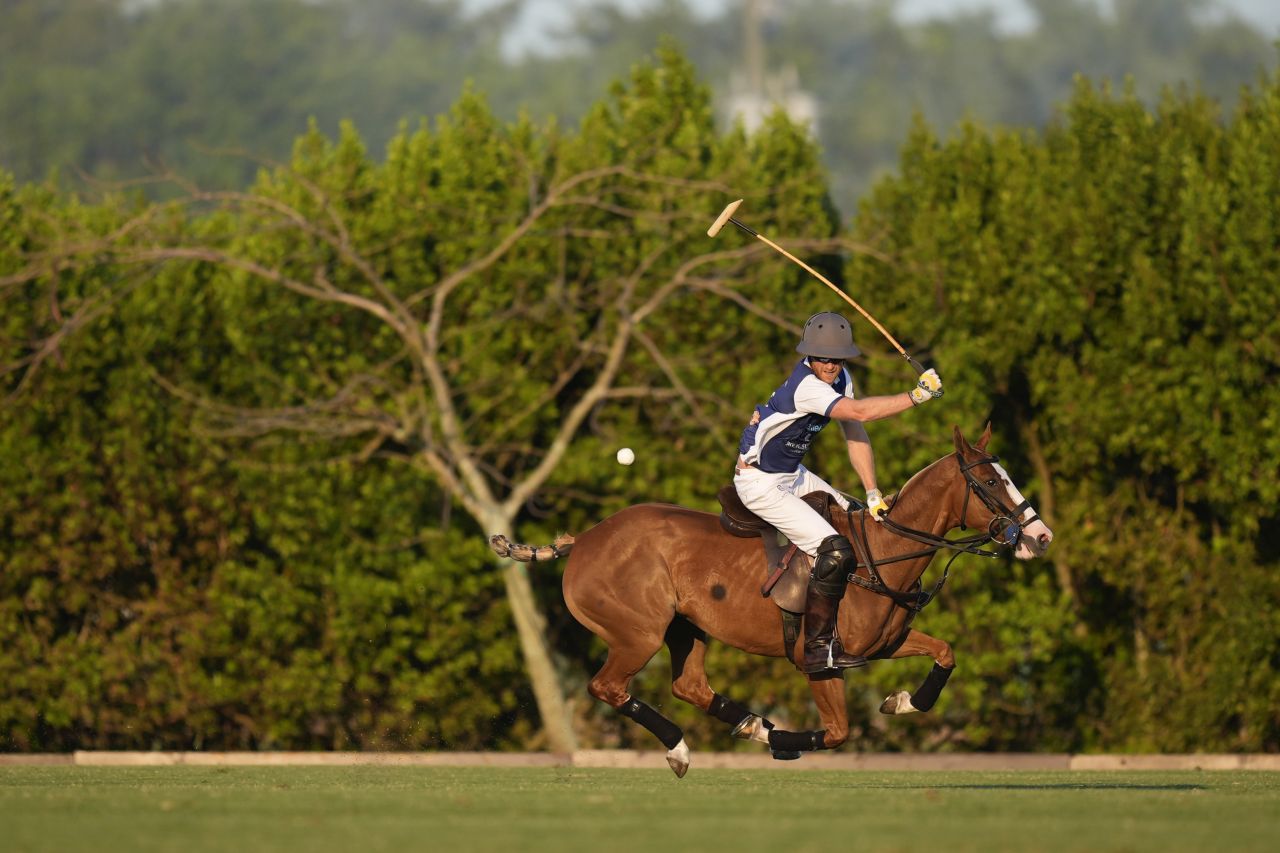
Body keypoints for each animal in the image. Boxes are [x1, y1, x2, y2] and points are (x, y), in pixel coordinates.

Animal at [488, 422, 1049, 773]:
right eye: (988, 481)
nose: (1039, 537)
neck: (881, 554)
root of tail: (583, 540)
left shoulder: (884, 644)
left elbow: (945, 652)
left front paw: (902, 700)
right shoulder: (817, 659)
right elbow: (838, 732)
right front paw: (784, 744)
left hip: (686, 628)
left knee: (689, 685)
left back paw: (750, 724)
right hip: (637, 632)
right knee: (608, 687)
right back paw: (686, 749)